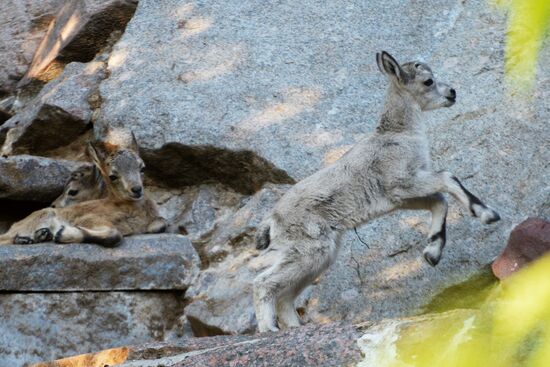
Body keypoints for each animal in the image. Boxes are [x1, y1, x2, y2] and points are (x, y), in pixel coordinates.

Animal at [0, 129, 168, 247]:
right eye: (112, 176)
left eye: (142, 168)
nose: (136, 189)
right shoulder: (89, 219)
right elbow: (114, 234)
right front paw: (62, 233)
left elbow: (160, 224)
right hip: (42, 215)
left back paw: (39, 235)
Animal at [256, 51, 504, 334]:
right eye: (428, 81)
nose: (452, 92)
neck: (399, 135)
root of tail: (271, 221)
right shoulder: (402, 182)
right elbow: (447, 178)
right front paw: (486, 214)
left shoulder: (400, 198)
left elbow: (439, 201)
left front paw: (432, 253)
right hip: (308, 248)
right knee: (263, 282)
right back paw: (268, 328)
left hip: (318, 255)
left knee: (285, 294)